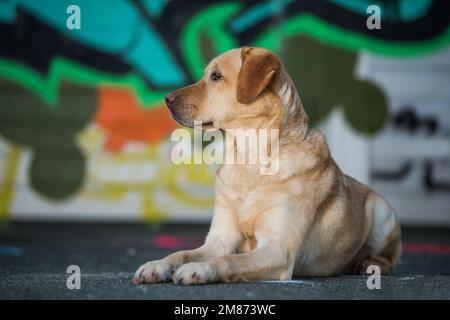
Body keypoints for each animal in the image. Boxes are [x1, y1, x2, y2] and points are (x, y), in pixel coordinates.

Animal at [133, 47, 400, 284]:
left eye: (216, 76)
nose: (167, 99)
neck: (248, 159)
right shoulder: (219, 240)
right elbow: (182, 253)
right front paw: (157, 265)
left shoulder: (278, 250)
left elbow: (230, 260)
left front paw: (199, 269)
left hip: (382, 212)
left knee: (388, 258)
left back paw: (368, 264)